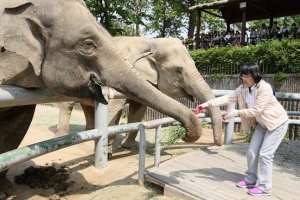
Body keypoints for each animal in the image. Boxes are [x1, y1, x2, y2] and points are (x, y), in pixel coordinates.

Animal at [56, 36, 223, 155]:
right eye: (178, 70)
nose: (218, 144)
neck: (150, 43)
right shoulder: (117, 74)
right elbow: (114, 109)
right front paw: (108, 153)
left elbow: (138, 110)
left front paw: (130, 146)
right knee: (67, 105)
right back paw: (63, 137)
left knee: (86, 106)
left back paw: (88, 133)